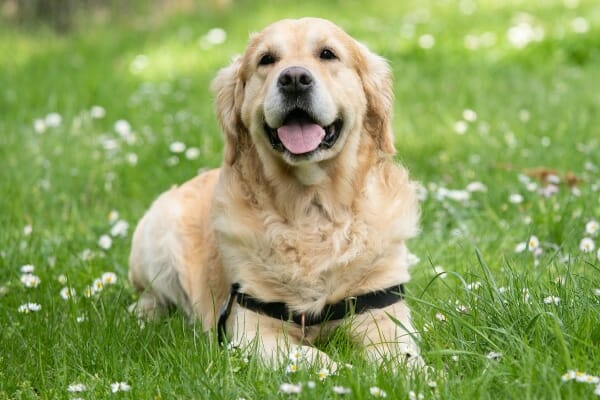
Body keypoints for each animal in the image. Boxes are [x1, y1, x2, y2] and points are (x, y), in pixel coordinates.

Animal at [129, 18, 422, 368]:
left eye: (328, 54)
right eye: (266, 60)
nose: (294, 78)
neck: (312, 208)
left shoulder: (383, 313)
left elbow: (403, 359)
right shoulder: (254, 332)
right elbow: (317, 359)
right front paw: (346, 370)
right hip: (156, 234)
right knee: (151, 295)